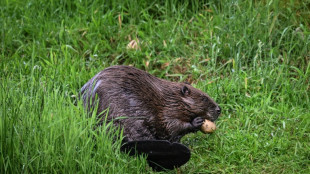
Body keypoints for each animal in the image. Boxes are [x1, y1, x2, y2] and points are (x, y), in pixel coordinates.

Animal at [80, 65, 220, 143]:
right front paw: (197, 121)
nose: (219, 109)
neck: (171, 98)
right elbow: (171, 125)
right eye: (204, 98)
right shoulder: (167, 111)